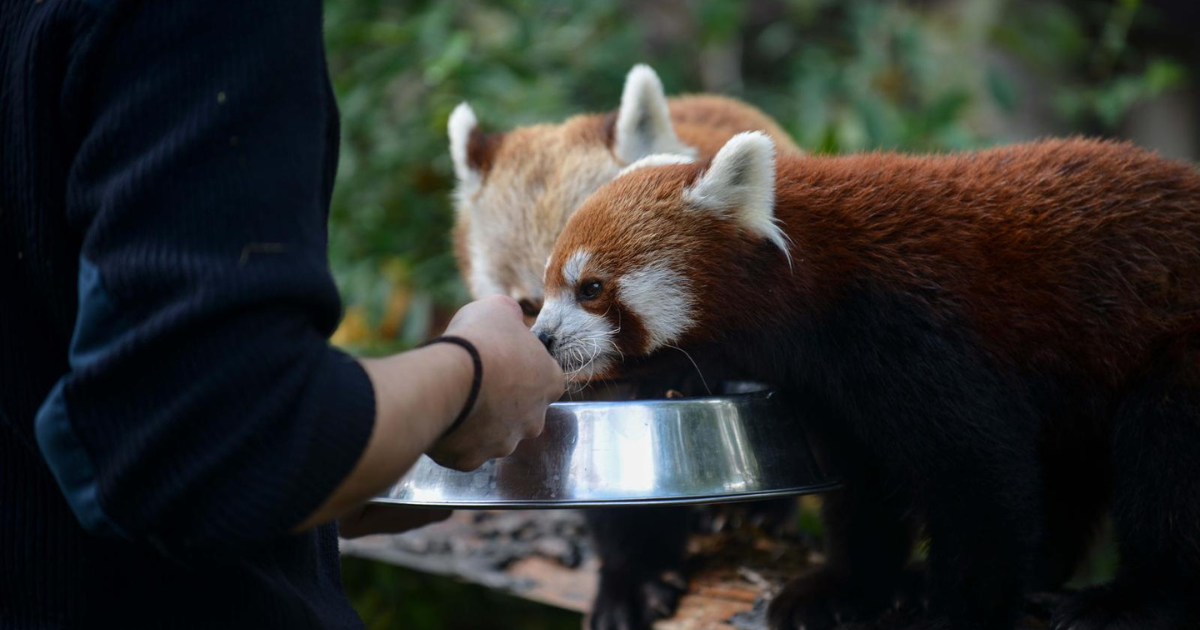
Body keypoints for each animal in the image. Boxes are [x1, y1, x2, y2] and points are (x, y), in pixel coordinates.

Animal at [532, 133, 1200, 628]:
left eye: (590, 288)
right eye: (547, 285)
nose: (540, 337)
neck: (812, 290)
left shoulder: (908, 327)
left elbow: (978, 475)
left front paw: (956, 616)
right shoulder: (828, 390)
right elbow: (863, 485)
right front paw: (848, 587)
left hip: (1177, 348)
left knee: (1165, 460)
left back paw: (1133, 599)